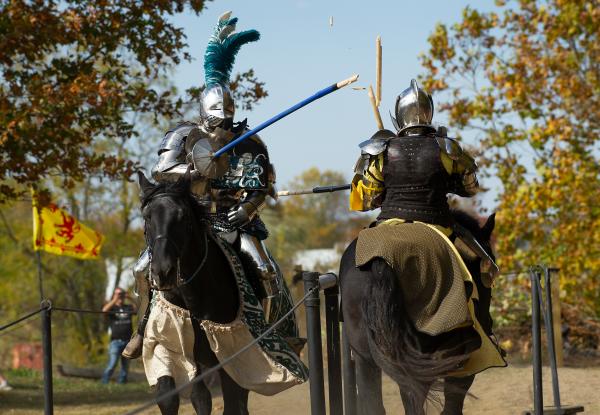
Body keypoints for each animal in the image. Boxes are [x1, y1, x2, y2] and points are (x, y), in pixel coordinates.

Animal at [139, 171, 250, 414]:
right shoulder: (169, 341)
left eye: (182, 217)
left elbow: (227, 401)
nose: (163, 272)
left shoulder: (230, 353)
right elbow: (175, 397)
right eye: (147, 217)